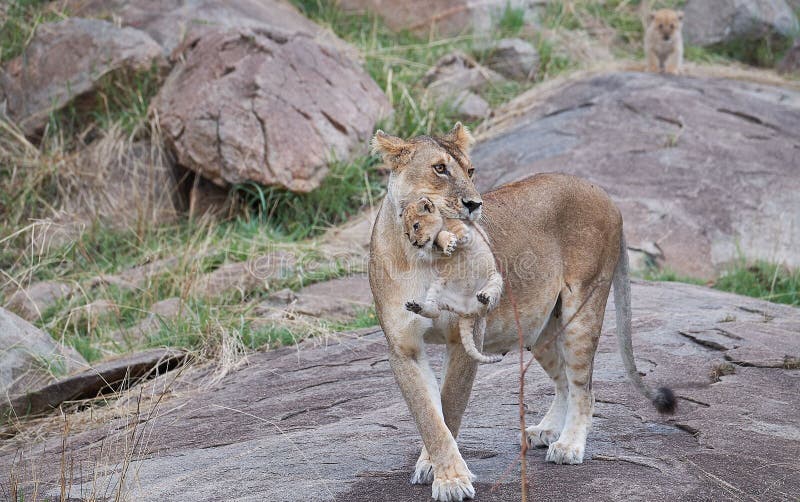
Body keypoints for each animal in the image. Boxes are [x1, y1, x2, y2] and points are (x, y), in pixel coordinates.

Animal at [401, 195, 504, 364]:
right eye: (406, 234)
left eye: (416, 226)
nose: (414, 243)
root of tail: (466, 312)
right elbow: (436, 241)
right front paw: (447, 243)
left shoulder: (464, 233)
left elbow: (441, 234)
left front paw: (448, 241)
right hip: (438, 286)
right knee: (434, 311)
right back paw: (416, 306)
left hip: (496, 278)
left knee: (483, 310)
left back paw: (483, 298)